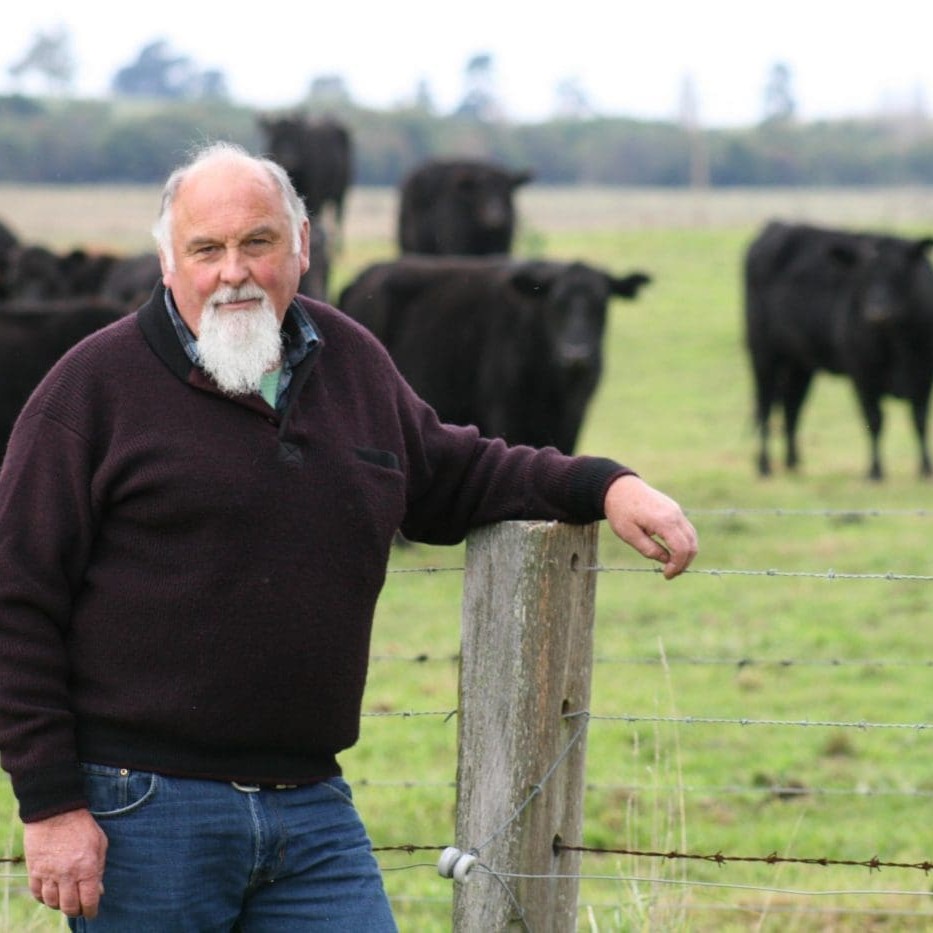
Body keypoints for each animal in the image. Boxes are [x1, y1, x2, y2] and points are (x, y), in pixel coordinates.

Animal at [338, 255, 652, 452]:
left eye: (601, 305)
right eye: (556, 303)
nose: (577, 356)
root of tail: (366, 276)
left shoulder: (573, 420)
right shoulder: (504, 415)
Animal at [748, 221, 933, 476]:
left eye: (900, 272)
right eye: (863, 276)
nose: (878, 312)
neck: (894, 344)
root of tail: (776, 226)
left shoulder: (923, 375)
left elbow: (920, 420)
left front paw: (925, 468)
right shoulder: (862, 376)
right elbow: (875, 420)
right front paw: (875, 471)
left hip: (799, 365)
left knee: (791, 407)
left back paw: (793, 463)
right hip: (764, 356)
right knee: (765, 408)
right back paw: (764, 465)